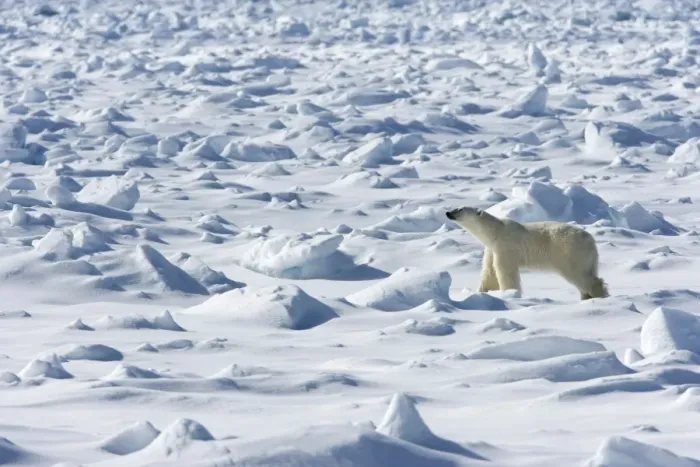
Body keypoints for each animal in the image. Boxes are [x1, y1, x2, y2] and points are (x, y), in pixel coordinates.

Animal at [445, 206, 608, 300]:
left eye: (459, 210)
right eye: (456, 207)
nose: (447, 212)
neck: (495, 232)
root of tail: (591, 240)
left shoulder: (506, 247)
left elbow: (505, 271)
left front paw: (510, 293)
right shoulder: (492, 249)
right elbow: (489, 272)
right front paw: (482, 292)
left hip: (570, 251)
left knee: (579, 274)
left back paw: (597, 295)